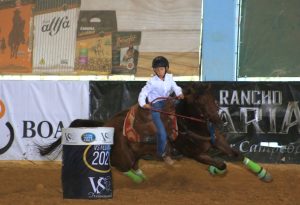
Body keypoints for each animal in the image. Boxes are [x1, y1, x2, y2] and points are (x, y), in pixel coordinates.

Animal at [37, 82, 272, 183]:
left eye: (213, 99)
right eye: (199, 103)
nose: (217, 120)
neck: (190, 124)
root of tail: (107, 123)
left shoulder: (217, 142)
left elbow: (237, 155)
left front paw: (263, 174)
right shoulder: (194, 154)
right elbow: (221, 163)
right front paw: (215, 169)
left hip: (135, 154)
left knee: (133, 165)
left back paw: (142, 175)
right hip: (122, 156)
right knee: (121, 167)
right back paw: (141, 180)